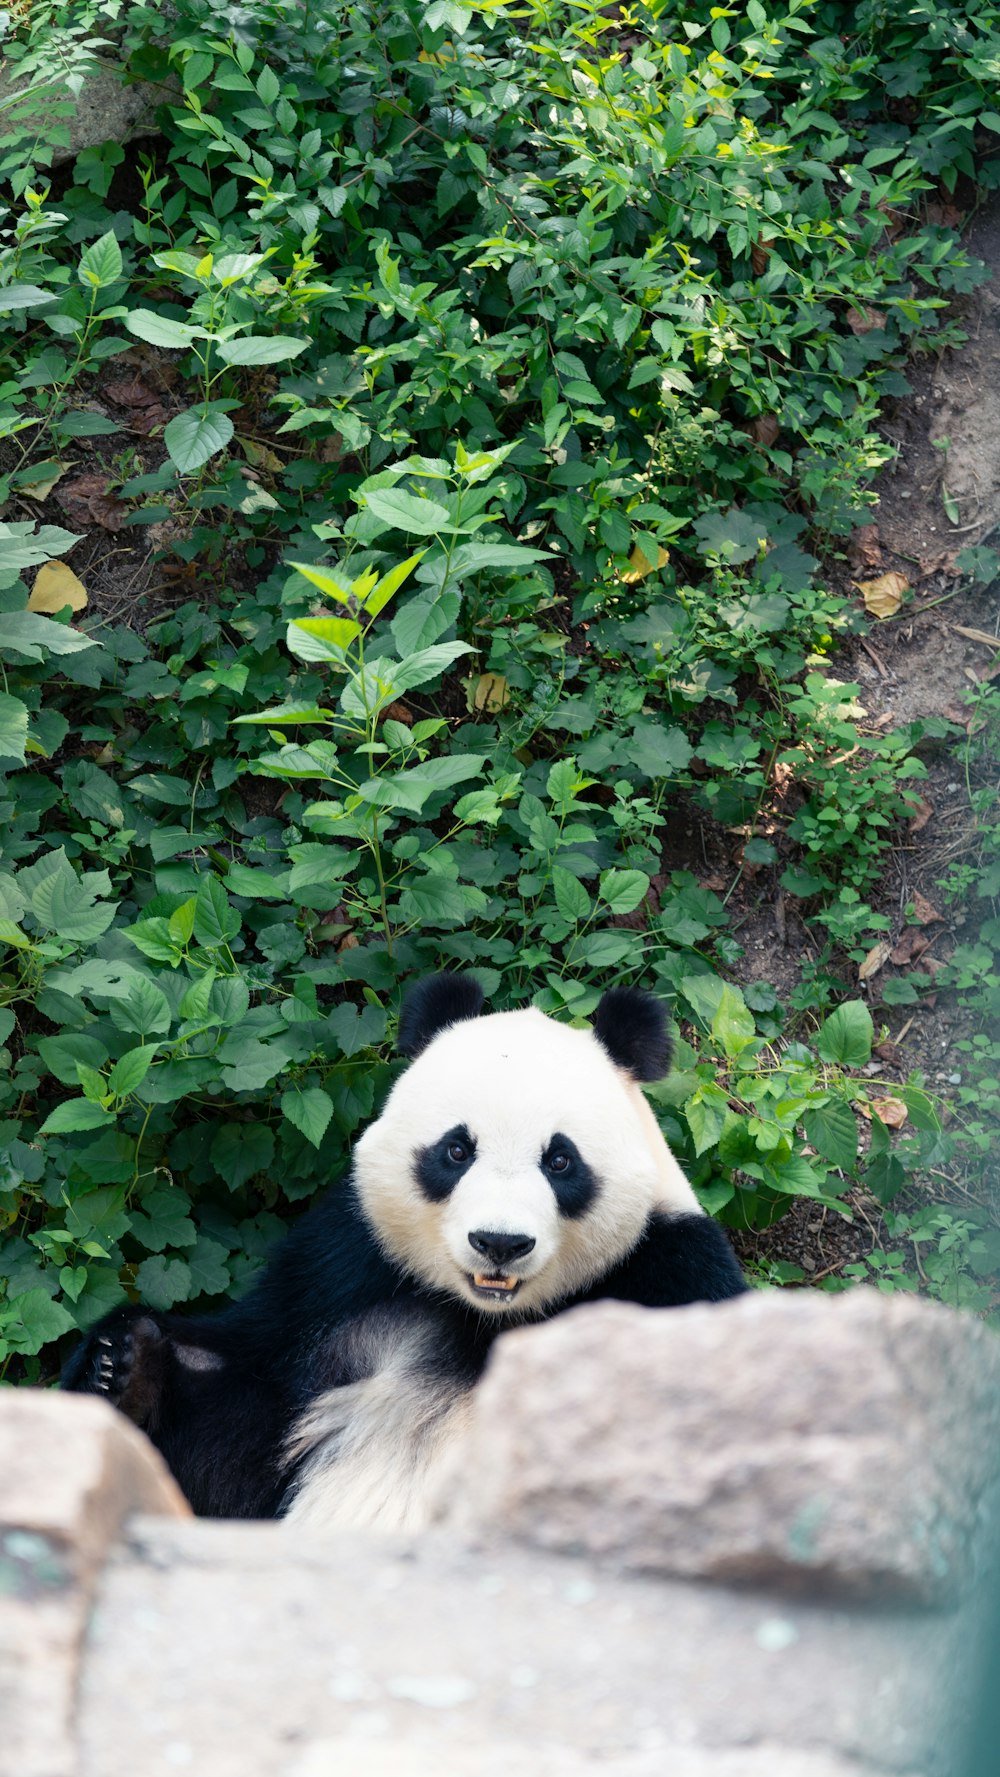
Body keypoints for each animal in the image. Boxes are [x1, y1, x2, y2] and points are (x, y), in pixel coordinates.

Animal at [60, 973, 742, 1528]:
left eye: (560, 1160)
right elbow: (231, 1438)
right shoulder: (342, 1272)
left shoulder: (670, 1272)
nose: (499, 1243)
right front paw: (122, 1365)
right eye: (456, 1150)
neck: (489, 1318)